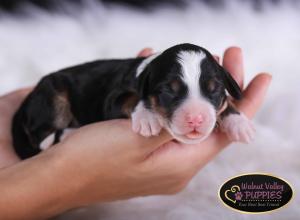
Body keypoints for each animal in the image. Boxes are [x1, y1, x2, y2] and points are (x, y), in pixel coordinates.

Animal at [12, 43, 254, 160]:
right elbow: (133, 97)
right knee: (42, 139)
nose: (195, 119)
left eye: (214, 90)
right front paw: (147, 117)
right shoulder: (112, 100)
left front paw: (239, 123)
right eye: (168, 91)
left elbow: (227, 104)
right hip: (53, 97)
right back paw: (69, 134)